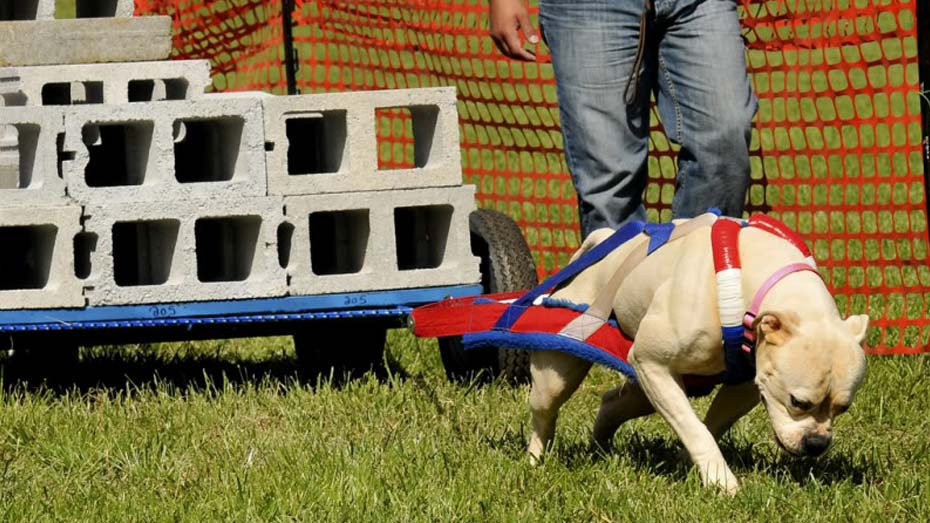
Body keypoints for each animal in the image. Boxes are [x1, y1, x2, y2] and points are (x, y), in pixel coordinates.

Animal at [524, 218, 868, 496]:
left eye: (843, 408)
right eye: (798, 402)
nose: (816, 444)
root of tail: (603, 241)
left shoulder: (748, 386)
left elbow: (710, 425)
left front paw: (691, 465)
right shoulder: (652, 363)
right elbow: (694, 428)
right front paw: (722, 483)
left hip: (651, 389)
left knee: (613, 402)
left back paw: (600, 446)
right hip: (561, 372)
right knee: (544, 414)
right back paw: (535, 460)